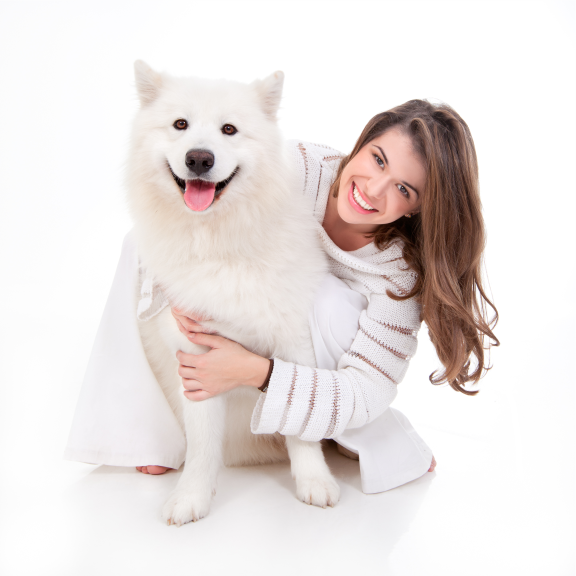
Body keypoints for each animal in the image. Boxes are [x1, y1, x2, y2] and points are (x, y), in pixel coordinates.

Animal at [127, 61, 340, 525]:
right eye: (180, 124)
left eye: (229, 129)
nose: (199, 158)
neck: (219, 246)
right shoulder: (195, 360)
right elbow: (203, 443)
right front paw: (192, 497)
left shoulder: (294, 340)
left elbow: (301, 424)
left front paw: (314, 481)